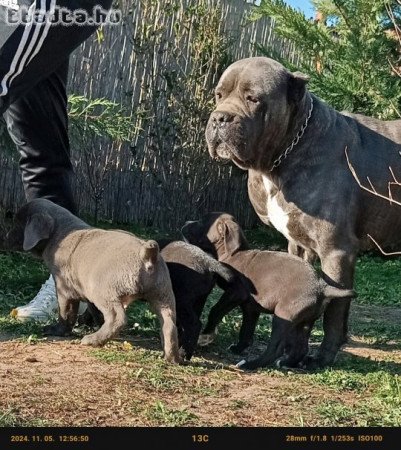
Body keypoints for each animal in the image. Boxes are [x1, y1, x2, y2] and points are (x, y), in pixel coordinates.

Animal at [5, 199, 181, 364]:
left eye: (18, 223)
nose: (4, 238)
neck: (60, 233)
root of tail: (146, 252)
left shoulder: (64, 290)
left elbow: (66, 313)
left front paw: (57, 330)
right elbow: (93, 311)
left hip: (104, 291)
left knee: (117, 317)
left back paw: (93, 340)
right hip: (163, 295)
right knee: (169, 324)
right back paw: (171, 357)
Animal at [181, 213, 354, 370]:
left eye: (202, 221)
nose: (186, 222)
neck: (233, 254)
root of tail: (322, 286)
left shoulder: (236, 293)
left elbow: (215, 311)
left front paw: (206, 334)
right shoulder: (251, 308)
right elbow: (246, 331)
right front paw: (238, 348)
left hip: (284, 316)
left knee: (275, 349)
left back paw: (250, 364)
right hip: (304, 321)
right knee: (301, 348)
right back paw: (286, 363)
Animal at [205, 54, 398, 368]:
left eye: (253, 98)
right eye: (219, 95)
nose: (219, 118)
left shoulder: (337, 251)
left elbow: (334, 313)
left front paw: (321, 358)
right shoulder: (299, 245)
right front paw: (293, 354)